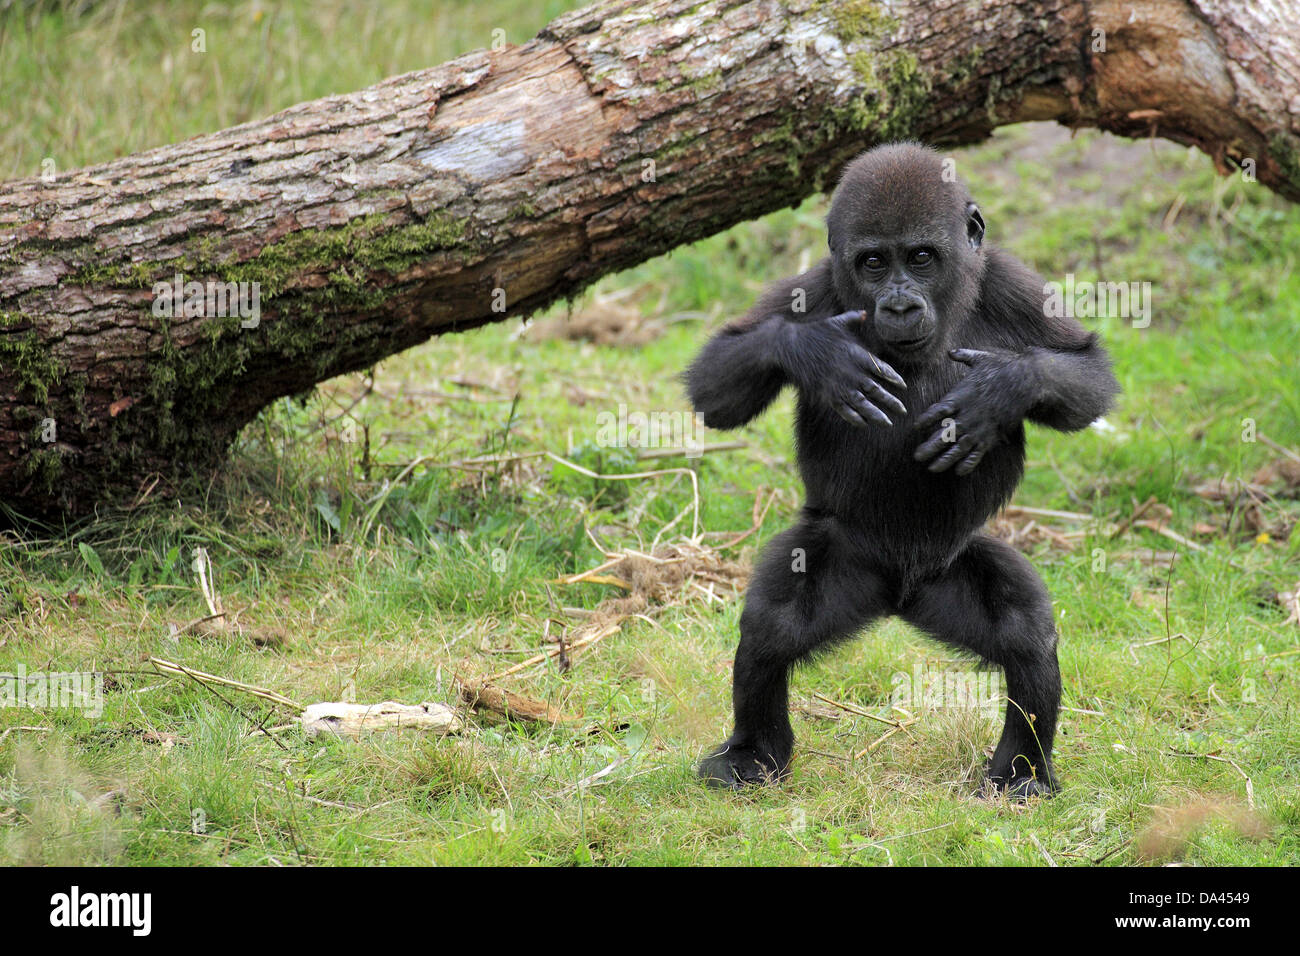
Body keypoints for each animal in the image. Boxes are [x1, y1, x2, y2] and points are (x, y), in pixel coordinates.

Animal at [686, 143, 1123, 801]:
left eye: (920, 258)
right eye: (872, 263)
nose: (897, 303)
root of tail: (897, 594)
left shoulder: (1011, 282)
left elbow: (1085, 372)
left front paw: (1000, 390)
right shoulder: (811, 288)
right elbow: (718, 385)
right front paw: (817, 355)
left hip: (949, 566)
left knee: (1024, 633)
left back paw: (1023, 768)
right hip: (846, 556)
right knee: (773, 624)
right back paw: (754, 754)